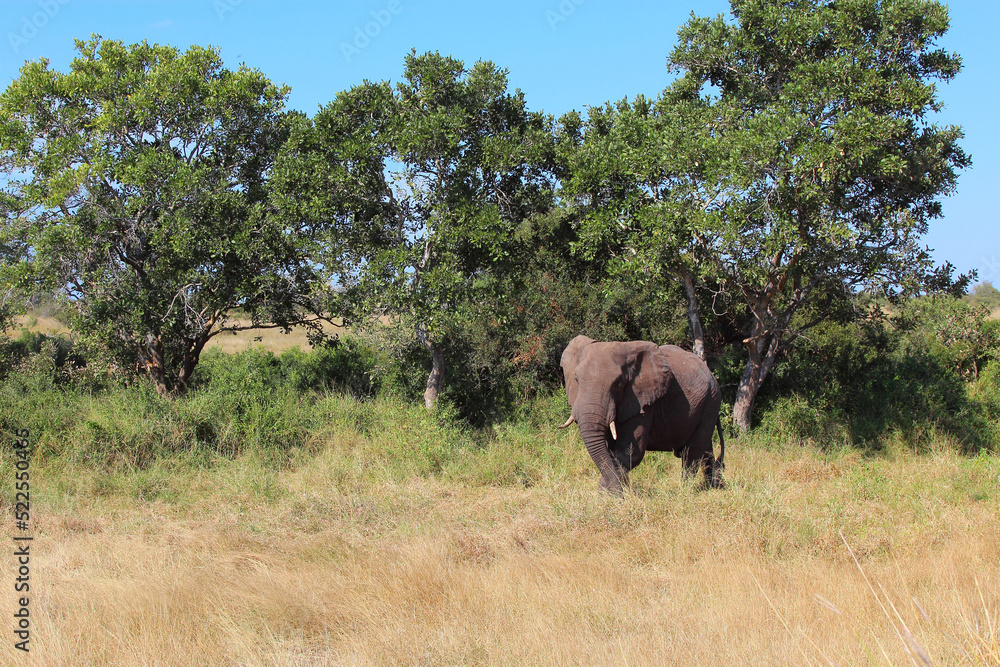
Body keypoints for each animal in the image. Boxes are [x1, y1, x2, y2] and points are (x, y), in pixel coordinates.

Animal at [559, 335, 725, 495]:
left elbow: (630, 452)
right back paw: (714, 487)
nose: (620, 492)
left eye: (619, 383)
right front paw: (613, 493)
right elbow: (611, 449)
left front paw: (610, 495)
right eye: (576, 379)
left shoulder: (642, 400)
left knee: (692, 453)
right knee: (705, 450)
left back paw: (687, 491)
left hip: (711, 401)